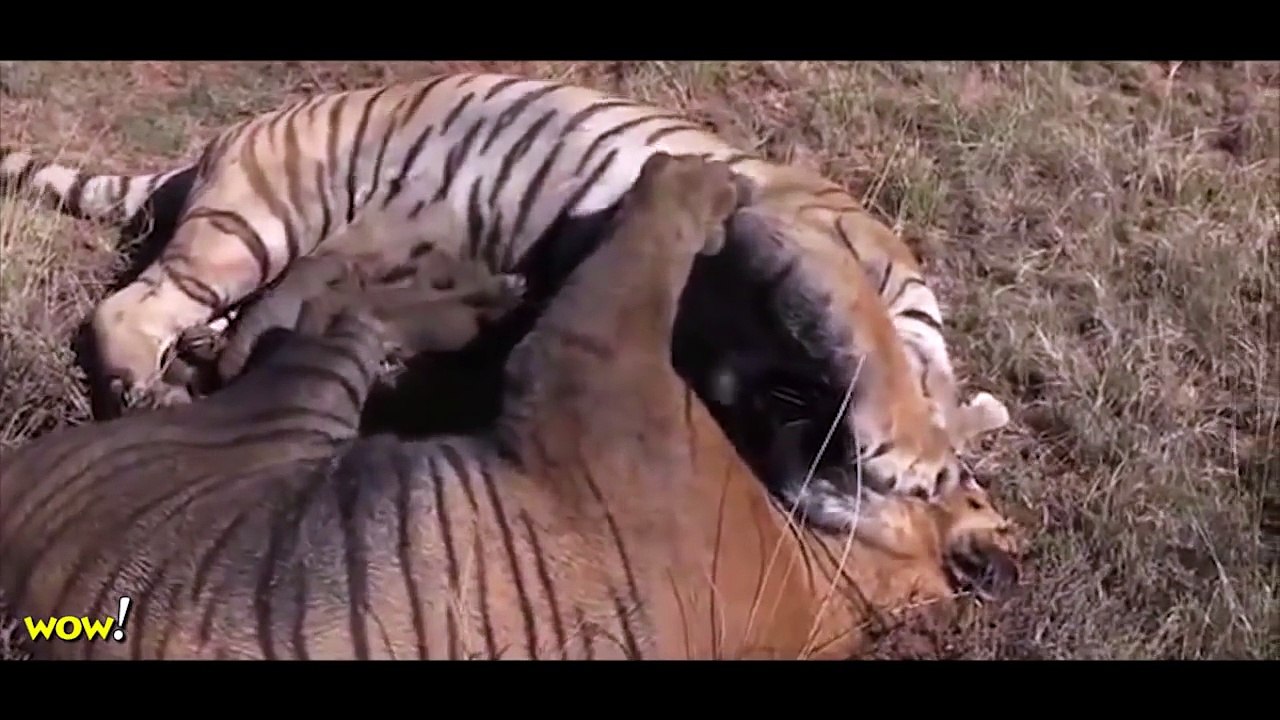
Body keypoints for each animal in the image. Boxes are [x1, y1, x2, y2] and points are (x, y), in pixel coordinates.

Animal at [0, 69, 1009, 505]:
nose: (811, 488)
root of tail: (219, 141)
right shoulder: (798, 235)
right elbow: (865, 333)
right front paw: (915, 446)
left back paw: (194, 364)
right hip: (254, 224)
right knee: (127, 306)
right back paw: (145, 388)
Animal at [0, 153, 1022, 660]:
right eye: (973, 492)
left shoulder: (599, 343)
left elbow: (656, 224)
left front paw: (701, 184)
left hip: (306, 396)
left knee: (320, 317)